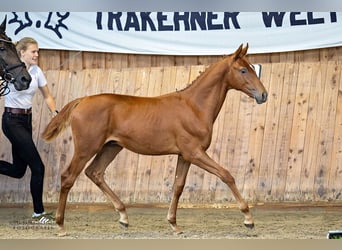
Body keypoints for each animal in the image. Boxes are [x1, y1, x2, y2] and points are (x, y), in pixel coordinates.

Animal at [42, 44, 268, 235]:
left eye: (252, 68)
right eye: (243, 70)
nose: (263, 95)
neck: (194, 106)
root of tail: (82, 101)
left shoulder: (184, 155)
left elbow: (178, 186)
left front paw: (174, 224)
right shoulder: (194, 153)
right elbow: (226, 175)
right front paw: (248, 218)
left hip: (111, 147)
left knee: (95, 172)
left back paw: (123, 216)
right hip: (86, 148)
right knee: (68, 177)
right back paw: (61, 226)